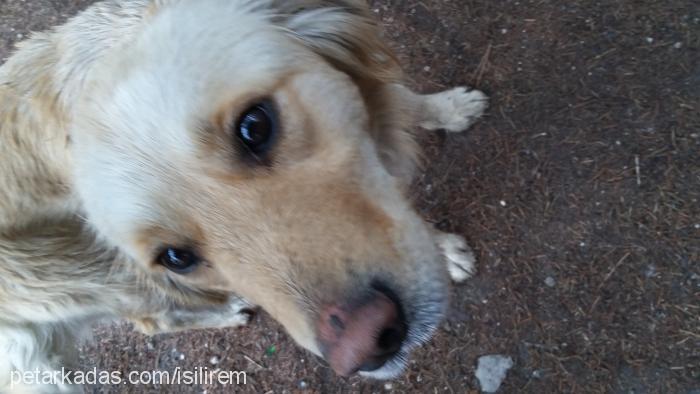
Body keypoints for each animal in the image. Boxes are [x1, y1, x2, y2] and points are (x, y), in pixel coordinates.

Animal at [0, 0, 490, 390]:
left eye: (255, 126)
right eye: (177, 257)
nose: (364, 345)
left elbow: (406, 104)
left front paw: (449, 108)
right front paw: (448, 251)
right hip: (102, 282)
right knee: (153, 319)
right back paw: (230, 310)